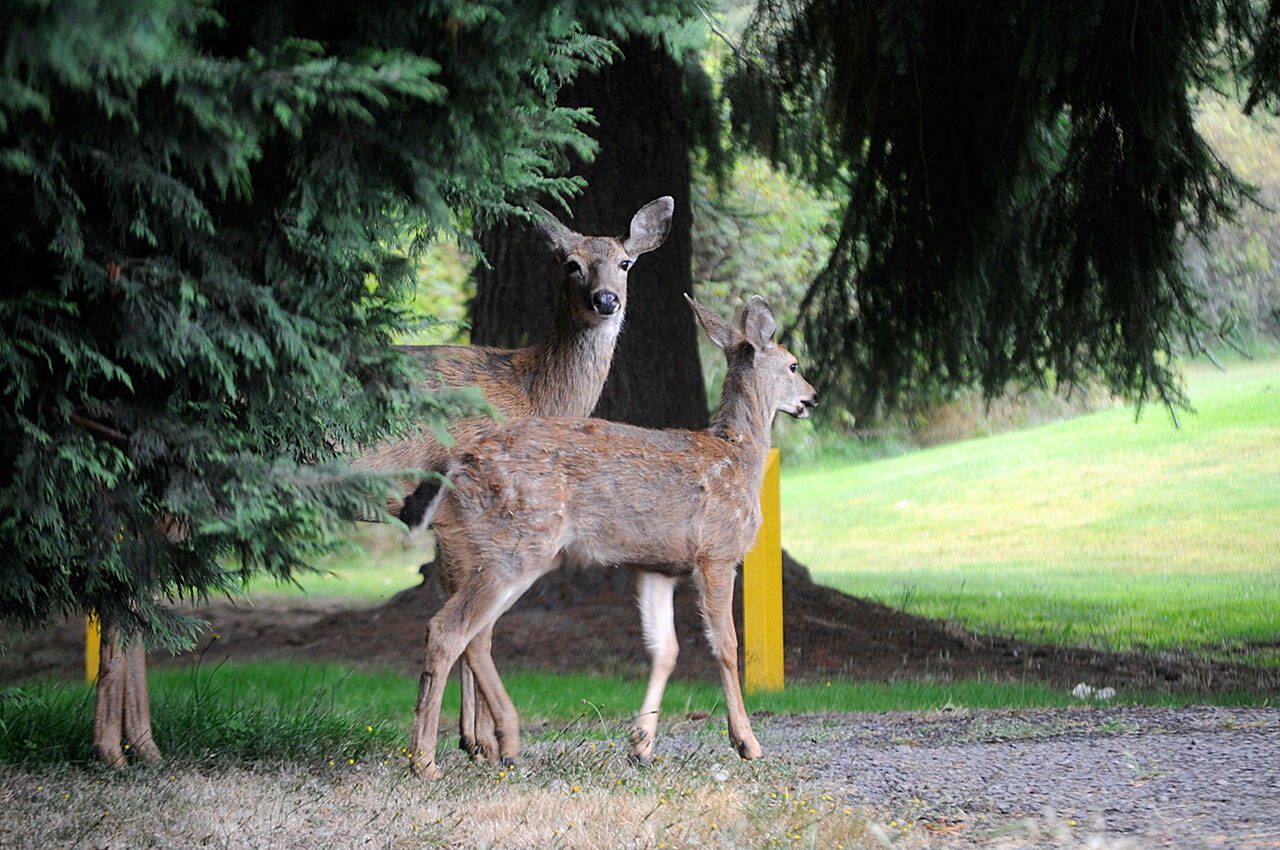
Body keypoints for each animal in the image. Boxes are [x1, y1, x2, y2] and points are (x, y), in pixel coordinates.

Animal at [364, 196, 674, 764]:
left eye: (625, 263)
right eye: (570, 263)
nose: (605, 300)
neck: (532, 392)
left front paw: (471, 739)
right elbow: (473, 624)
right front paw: (483, 741)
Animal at [404, 294, 818, 779]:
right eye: (793, 365)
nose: (812, 397)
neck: (740, 457)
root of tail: (455, 468)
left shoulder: (657, 566)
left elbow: (665, 649)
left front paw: (641, 744)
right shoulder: (717, 552)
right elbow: (727, 645)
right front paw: (746, 742)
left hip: (498, 550)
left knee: (476, 635)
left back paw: (500, 742)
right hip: (517, 543)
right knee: (449, 630)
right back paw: (427, 761)